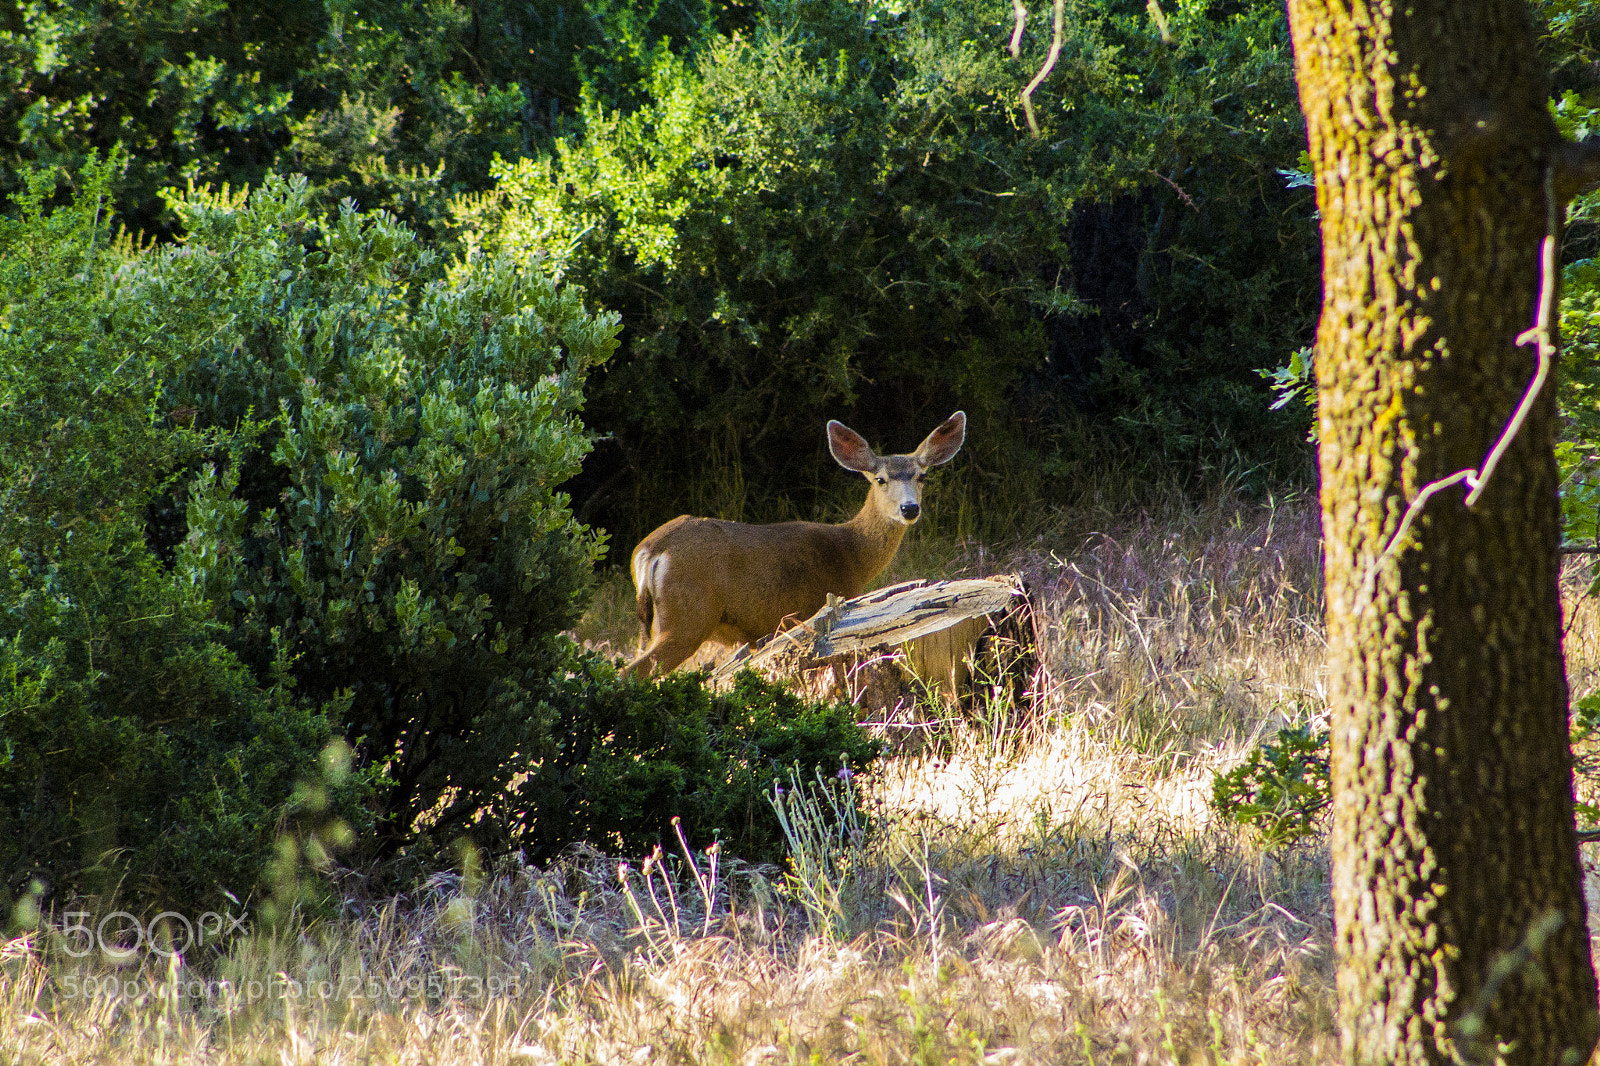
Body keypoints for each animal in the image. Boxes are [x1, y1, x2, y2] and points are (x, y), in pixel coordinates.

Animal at [622, 412, 967, 679]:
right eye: (880, 479)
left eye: (922, 476)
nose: (910, 509)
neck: (850, 553)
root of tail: (651, 550)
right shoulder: (814, 606)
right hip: (687, 616)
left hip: (651, 624)